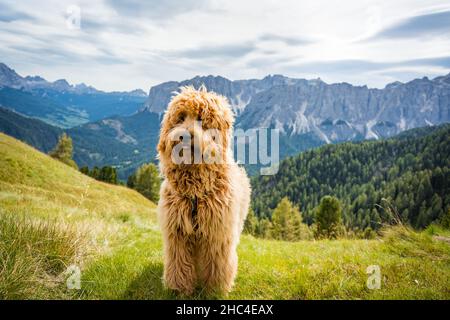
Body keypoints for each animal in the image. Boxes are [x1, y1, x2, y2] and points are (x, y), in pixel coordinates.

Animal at [157, 85, 250, 296]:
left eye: (201, 118)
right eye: (181, 117)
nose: (183, 136)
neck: (195, 191)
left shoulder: (218, 233)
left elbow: (217, 264)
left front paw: (215, 290)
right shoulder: (177, 232)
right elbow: (179, 262)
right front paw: (179, 288)